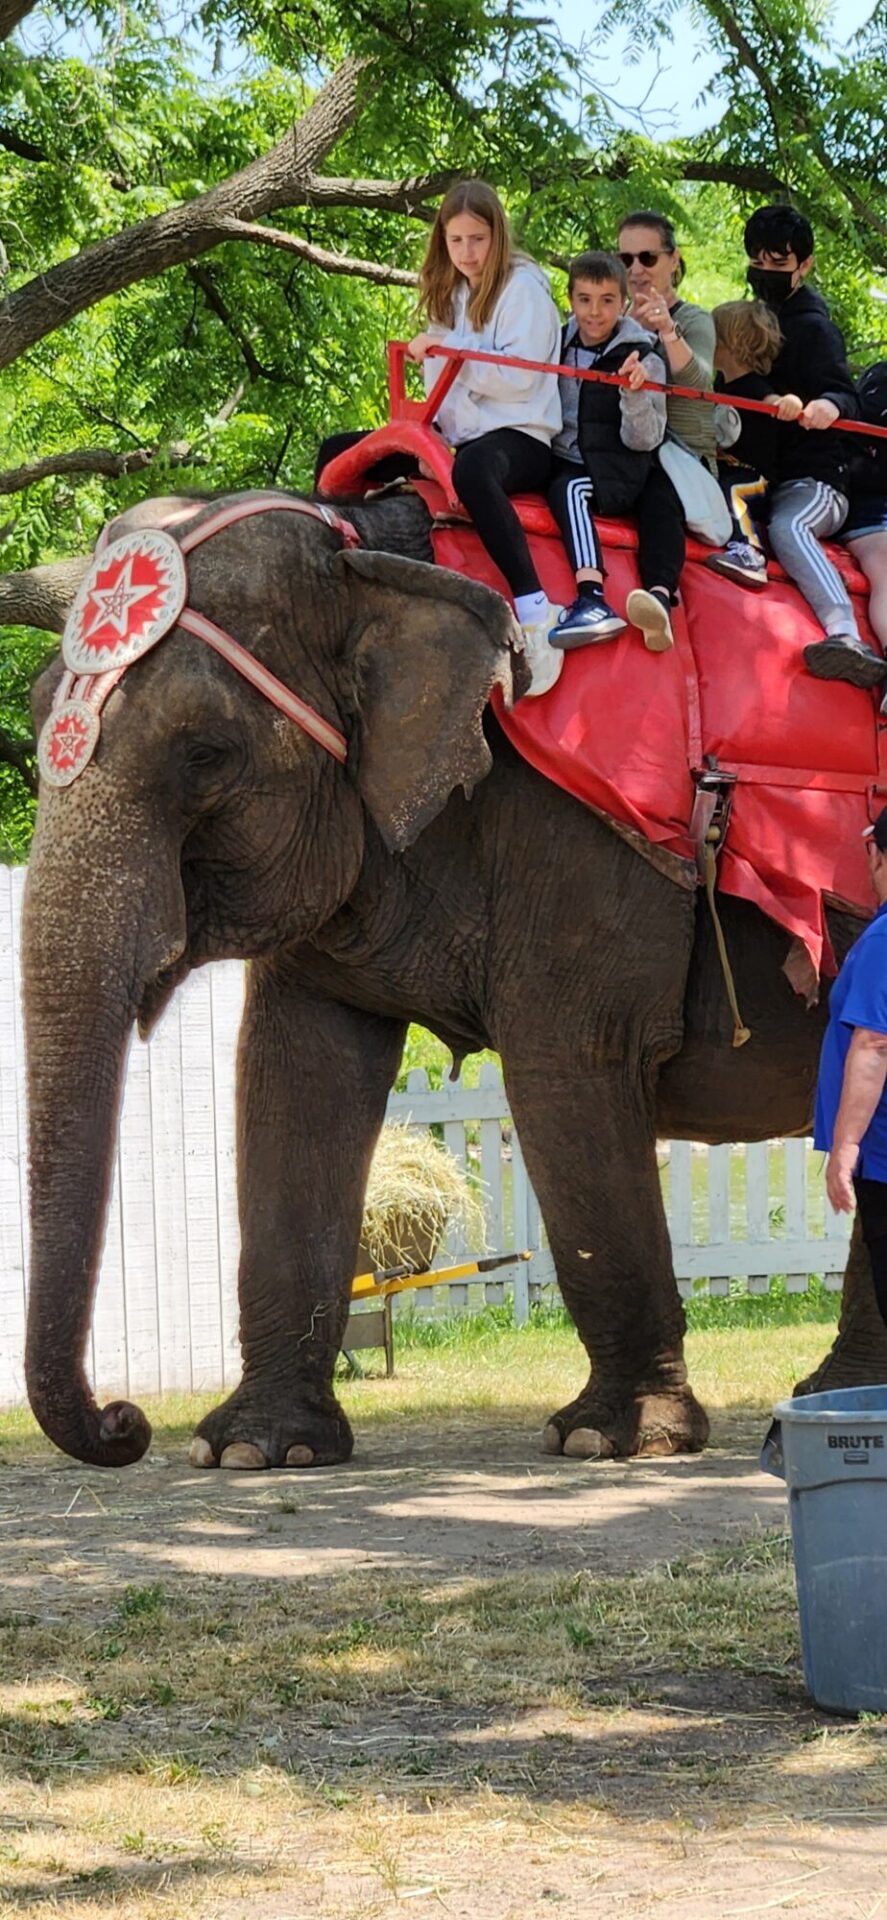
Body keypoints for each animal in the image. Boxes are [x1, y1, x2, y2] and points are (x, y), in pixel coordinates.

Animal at [19, 483, 887, 1466]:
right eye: (38, 717)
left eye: (206, 753)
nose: (123, 1423)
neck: (370, 552)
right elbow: (293, 1079)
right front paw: (255, 1449)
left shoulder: (585, 850)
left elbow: (568, 1072)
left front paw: (610, 1438)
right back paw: (831, 1394)